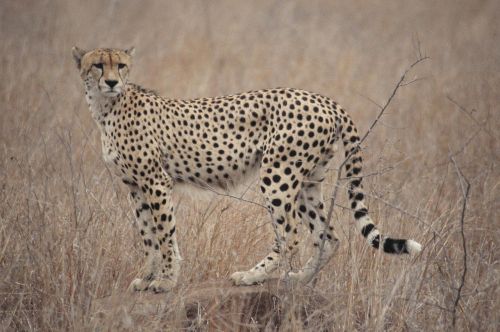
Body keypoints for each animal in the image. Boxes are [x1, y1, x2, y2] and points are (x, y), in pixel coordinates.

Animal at [71, 47, 422, 294]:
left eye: (120, 65)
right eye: (98, 65)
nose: (112, 82)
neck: (107, 107)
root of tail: (322, 98)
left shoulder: (156, 182)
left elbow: (165, 234)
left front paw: (166, 281)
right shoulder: (135, 186)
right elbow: (148, 236)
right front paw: (146, 278)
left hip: (278, 175)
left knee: (291, 234)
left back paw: (252, 276)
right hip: (309, 179)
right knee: (328, 235)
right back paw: (298, 279)